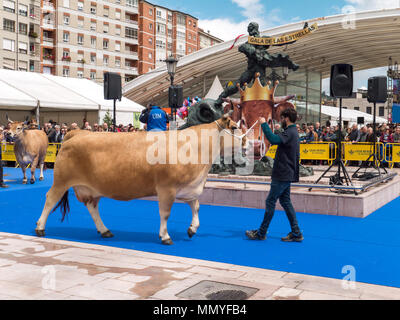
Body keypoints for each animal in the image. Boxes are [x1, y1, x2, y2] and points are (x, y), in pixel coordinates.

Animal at [35, 114, 241, 245]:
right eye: (234, 127)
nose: (248, 143)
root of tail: (77, 133)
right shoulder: (167, 188)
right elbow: (165, 213)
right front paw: (165, 236)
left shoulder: (189, 187)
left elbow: (196, 206)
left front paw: (192, 229)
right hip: (61, 181)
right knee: (50, 199)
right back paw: (40, 228)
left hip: (91, 188)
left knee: (92, 207)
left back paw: (105, 230)